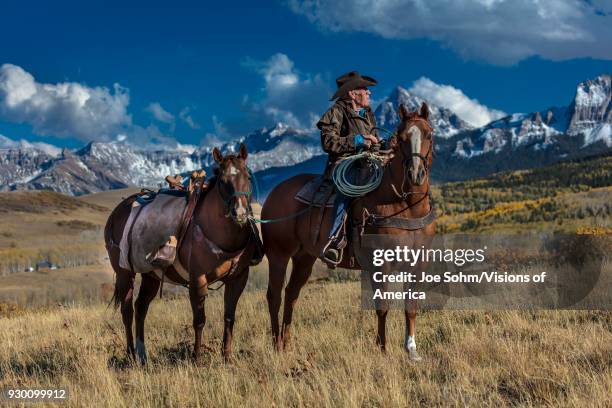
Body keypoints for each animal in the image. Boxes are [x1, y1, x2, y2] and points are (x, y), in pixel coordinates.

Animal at [106, 145, 255, 362]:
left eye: (248, 176)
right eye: (222, 180)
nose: (240, 212)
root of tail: (116, 213)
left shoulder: (238, 278)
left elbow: (229, 317)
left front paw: (227, 357)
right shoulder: (197, 280)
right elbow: (199, 320)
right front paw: (197, 357)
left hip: (151, 275)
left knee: (141, 308)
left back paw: (142, 354)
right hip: (125, 273)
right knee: (127, 311)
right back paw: (131, 354)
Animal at [262, 103, 436, 360]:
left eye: (429, 135)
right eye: (402, 137)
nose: (416, 174)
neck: (406, 206)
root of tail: (274, 193)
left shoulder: (417, 264)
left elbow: (411, 307)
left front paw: (411, 350)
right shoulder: (380, 265)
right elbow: (382, 307)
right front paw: (383, 349)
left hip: (304, 258)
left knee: (291, 294)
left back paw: (287, 344)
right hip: (278, 255)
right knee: (274, 295)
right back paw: (276, 346)